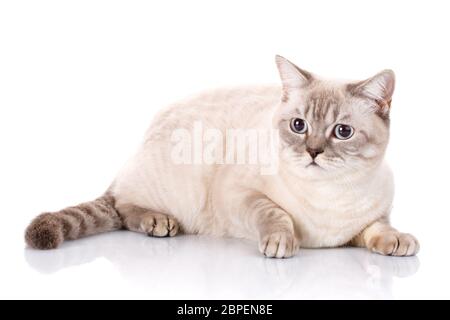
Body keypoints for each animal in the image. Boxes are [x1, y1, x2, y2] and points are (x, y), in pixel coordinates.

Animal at [24, 56, 418, 258]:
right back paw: (158, 222)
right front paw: (281, 242)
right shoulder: (239, 193)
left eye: (342, 132)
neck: (328, 196)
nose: (313, 152)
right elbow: (274, 213)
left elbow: (379, 228)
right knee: (121, 204)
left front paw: (398, 241)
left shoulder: (371, 218)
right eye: (299, 125)